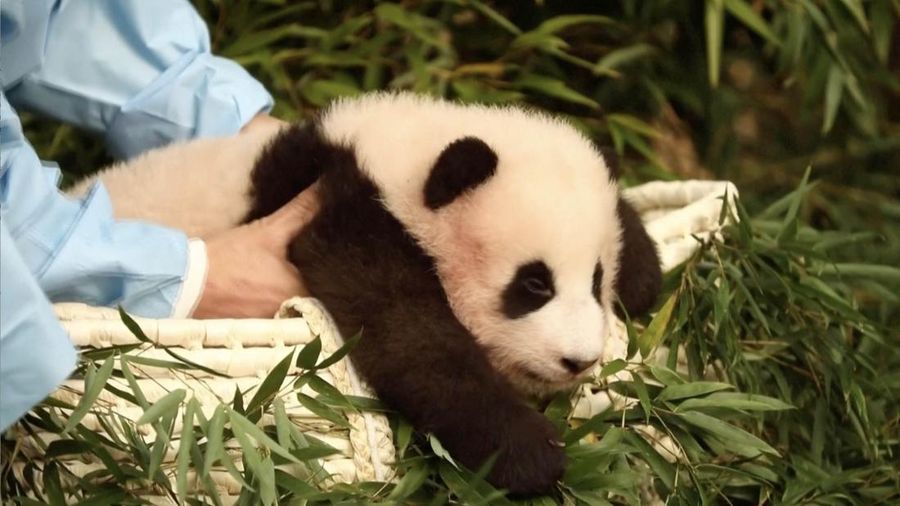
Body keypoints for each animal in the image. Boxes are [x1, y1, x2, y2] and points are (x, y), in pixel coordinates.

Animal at [76, 92, 662, 495]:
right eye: (533, 283)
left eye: (595, 279)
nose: (578, 360)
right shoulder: (343, 215)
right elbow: (407, 328)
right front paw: (527, 452)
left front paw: (645, 270)